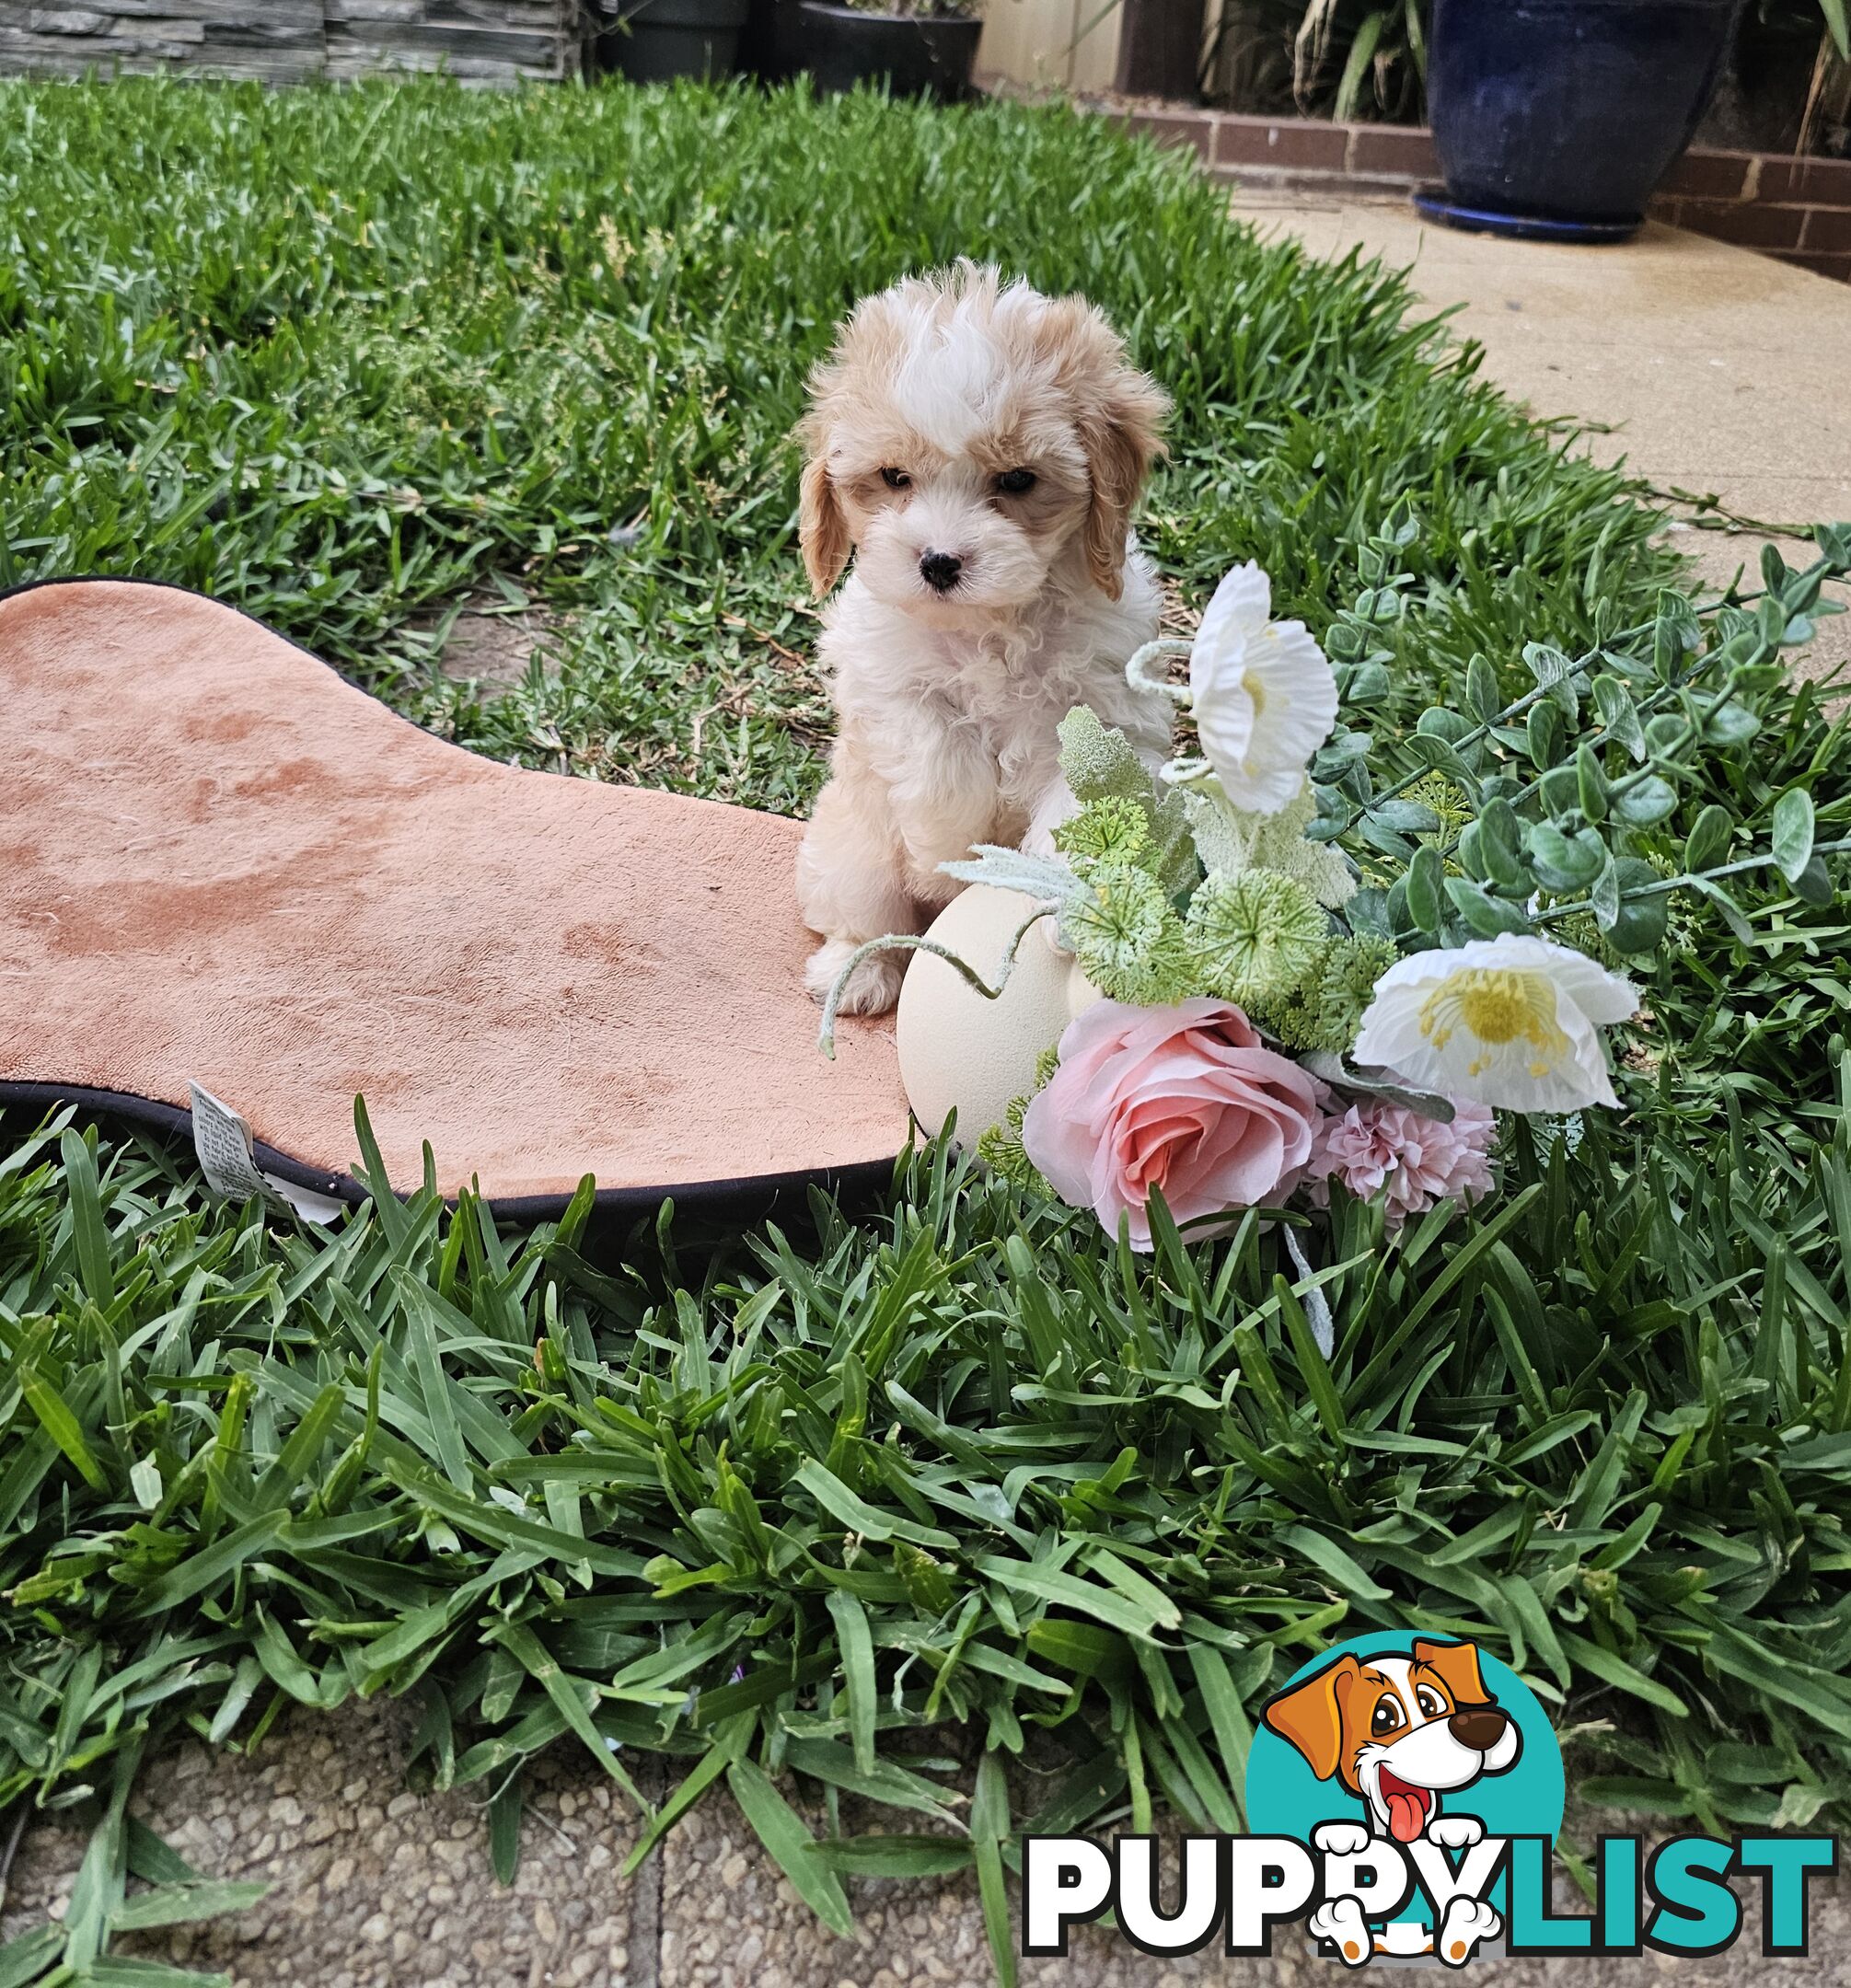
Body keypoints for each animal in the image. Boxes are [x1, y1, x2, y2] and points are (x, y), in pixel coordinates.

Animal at [795, 260, 1169, 1010]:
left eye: (1018, 479)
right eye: (895, 478)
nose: (939, 562)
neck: (990, 624)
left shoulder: (1109, 710)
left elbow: (1085, 797)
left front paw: (1070, 902)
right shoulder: (888, 687)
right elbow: (940, 757)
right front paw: (949, 851)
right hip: (848, 853)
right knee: (866, 917)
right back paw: (857, 973)